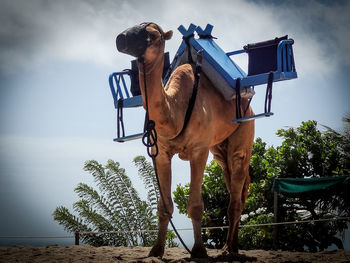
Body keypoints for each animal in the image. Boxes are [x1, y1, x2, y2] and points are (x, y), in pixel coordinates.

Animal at [117, 23, 254, 260]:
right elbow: (164, 206)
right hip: (219, 149)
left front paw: (199, 251)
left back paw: (230, 249)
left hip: (244, 134)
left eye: (152, 35)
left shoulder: (199, 151)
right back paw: (231, 247)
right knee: (233, 187)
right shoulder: (160, 152)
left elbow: (196, 206)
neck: (177, 110)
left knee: (236, 195)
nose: (121, 39)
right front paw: (156, 250)